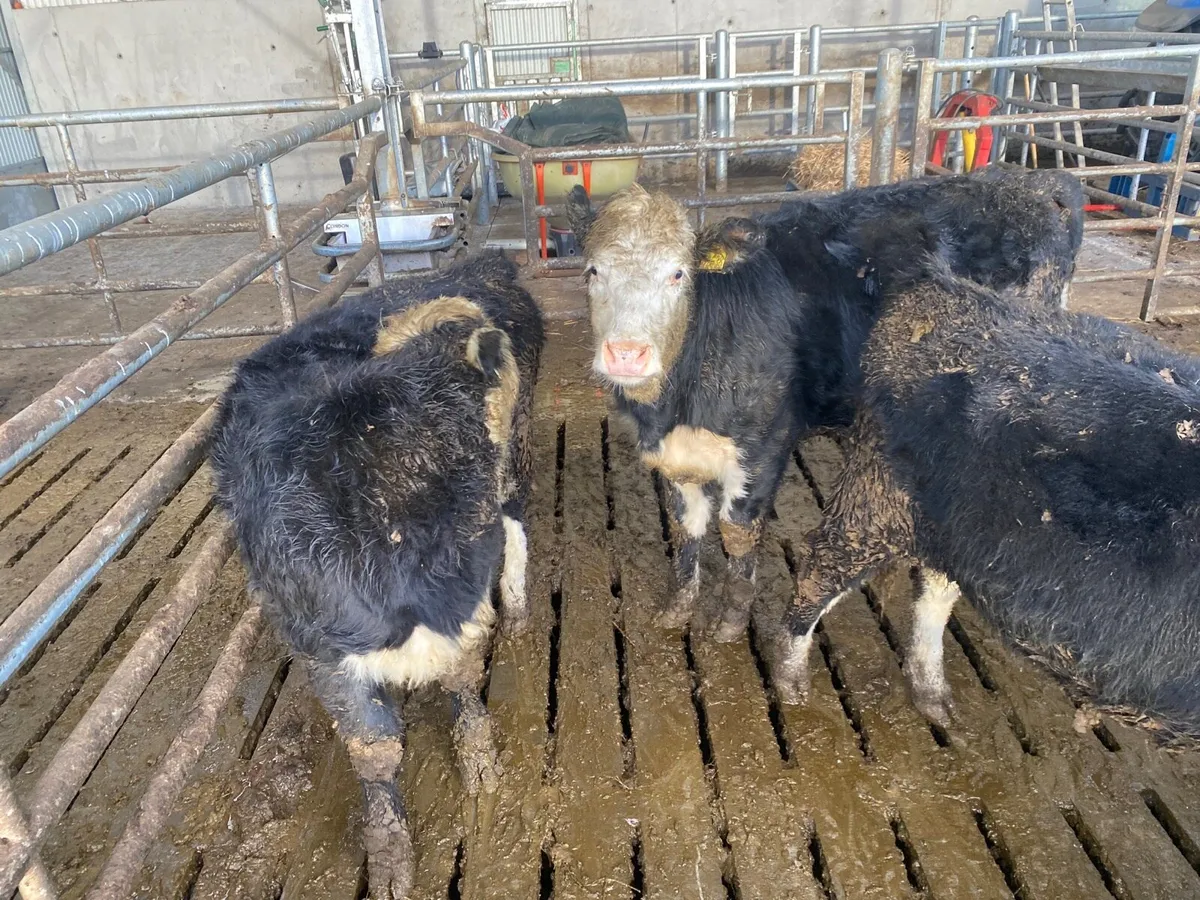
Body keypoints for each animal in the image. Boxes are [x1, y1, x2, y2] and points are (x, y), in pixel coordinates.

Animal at [209, 251, 544, 899]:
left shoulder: (467, 607)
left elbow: (463, 678)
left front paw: (480, 763)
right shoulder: (323, 650)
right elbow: (373, 749)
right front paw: (389, 857)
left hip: (516, 458)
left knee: (518, 517)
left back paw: (518, 604)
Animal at [771, 236, 1200, 737]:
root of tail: (947, 288)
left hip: (954, 525)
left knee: (934, 590)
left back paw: (937, 703)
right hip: (877, 500)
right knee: (822, 570)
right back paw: (792, 687)